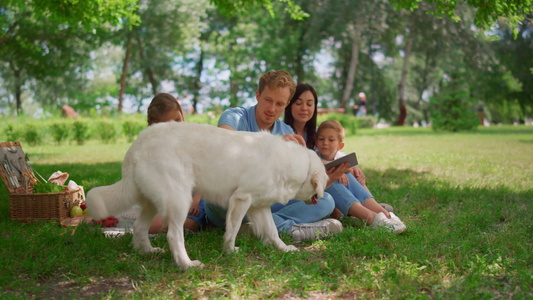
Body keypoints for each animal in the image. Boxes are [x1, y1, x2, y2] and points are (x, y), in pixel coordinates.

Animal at [86, 121, 328, 270]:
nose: (321, 195)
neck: (294, 165)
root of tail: (138, 143)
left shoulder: (258, 206)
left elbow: (272, 231)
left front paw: (284, 249)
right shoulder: (241, 199)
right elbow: (233, 229)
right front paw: (229, 252)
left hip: (152, 203)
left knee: (139, 227)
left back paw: (147, 252)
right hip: (179, 200)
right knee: (173, 235)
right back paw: (187, 265)